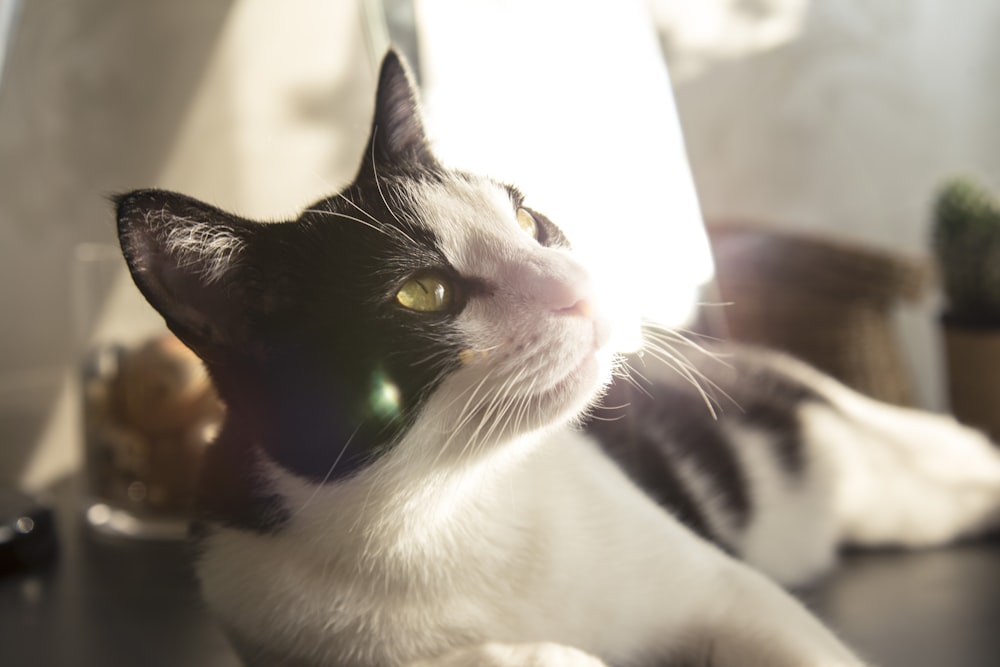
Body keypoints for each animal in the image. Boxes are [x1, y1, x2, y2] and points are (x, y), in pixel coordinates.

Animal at [113, 52, 1000, 667]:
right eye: (422, 293)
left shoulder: (731, 590)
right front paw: (543, 653)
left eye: (527, 220)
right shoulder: (267, 611)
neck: (439, 512)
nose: (580, 286)